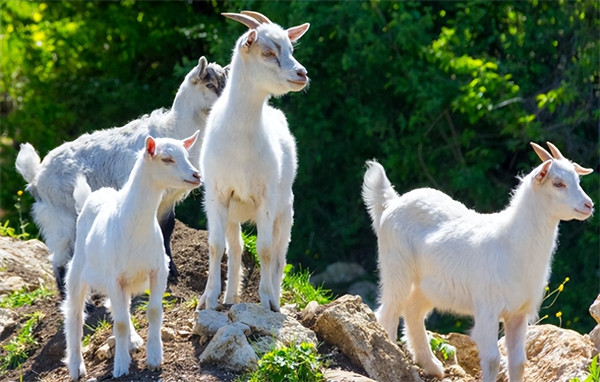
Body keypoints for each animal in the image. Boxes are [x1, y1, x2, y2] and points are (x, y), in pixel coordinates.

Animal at [16, 57, 227, 296]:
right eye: (209, 85)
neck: (173, 129)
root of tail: (36, 177)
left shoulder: (167, 200)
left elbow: (166, 229)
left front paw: (171, 270)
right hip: (58, 215)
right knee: (60, 256)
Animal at [63, 134, 200, 380]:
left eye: (186, 155)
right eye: (166, 159)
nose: (197, 175)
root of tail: (92, 195)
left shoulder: (158, 270)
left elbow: (153, 312)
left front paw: (154, 358)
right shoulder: (113, 278)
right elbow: (119, 323)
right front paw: (120, 366)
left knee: (121, 308)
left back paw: (133, 340)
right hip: (78, 270)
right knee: (75, 314)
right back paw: (76, 366)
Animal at [199, 11, 310, 314]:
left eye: (291, 48)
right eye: (268, 51)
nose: (302, 74)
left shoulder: (266, 197)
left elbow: (265, 249)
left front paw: (267, 300)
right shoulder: (217, 194)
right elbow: (216, 246)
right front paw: (208, 300)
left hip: (286, 210)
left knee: (280, 255)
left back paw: (274, 297)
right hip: (232, 213)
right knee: (235, 249)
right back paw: (228, 298)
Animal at [364, 143, 592, 382]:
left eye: (577, 179)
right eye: (558, 183)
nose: (589, 205)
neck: (510, 244)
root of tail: (392, 202)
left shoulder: (518, 313)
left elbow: (518, 362)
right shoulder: (487, 308)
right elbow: (492, 359)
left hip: (429, 286)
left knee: (412, 310)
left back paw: (432, 365)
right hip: (396, 267)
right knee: (388, 312)